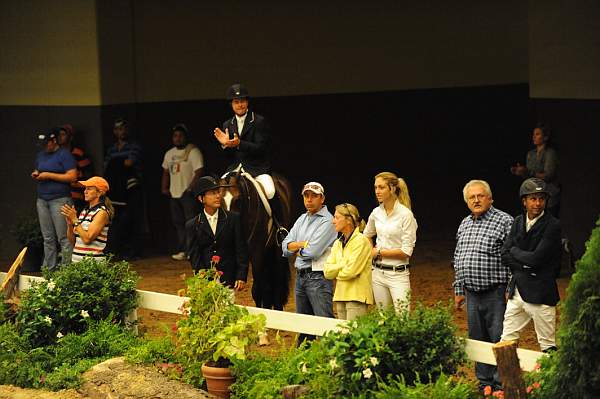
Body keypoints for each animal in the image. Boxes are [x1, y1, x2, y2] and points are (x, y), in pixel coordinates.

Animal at [223, 172, 292, 310]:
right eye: (219, 199)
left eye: (237, 199)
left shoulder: (256, 253)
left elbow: (257, 289)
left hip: (277, 250)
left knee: (277, 282)